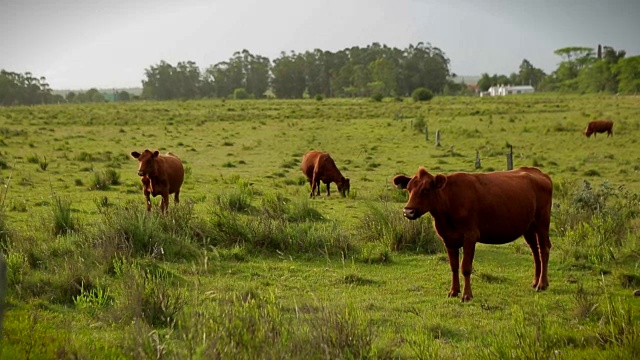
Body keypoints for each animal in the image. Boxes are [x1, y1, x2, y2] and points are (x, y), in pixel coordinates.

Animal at [392, 166, 552, 300]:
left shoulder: (470, 236)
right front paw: (453, 291)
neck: (449, 203)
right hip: (529, 227)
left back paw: (542, 284)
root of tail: (537, 172)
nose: (408, 211)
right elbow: (454, 266)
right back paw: (535, 281)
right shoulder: (448, 238)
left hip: (542, 222)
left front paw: (467, 295)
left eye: (426, 189)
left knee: (543, 249)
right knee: (535, 250)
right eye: (408, 189)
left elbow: (466, 267)